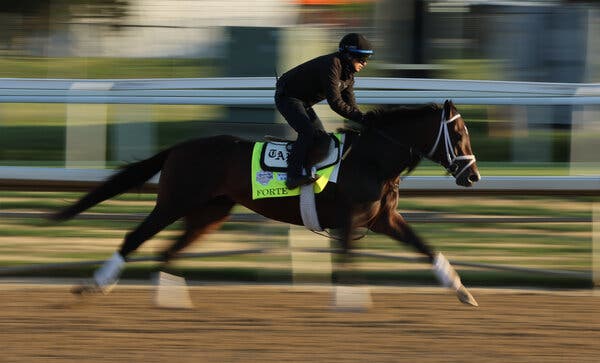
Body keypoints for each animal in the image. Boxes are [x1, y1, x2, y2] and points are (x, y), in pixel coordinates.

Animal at [51, 99, 482, 308]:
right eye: (459, 132)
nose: (473, 176)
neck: (373, 159)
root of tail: (180, 148)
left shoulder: (383, 219)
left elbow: (427, 248)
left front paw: (464, 291)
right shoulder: (349, 220)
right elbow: (347, 265)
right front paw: (349, 303)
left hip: (209, 213)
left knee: (167, 251)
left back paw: (171, 300)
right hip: (174, 202)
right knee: (136, 238)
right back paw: (95, 285)